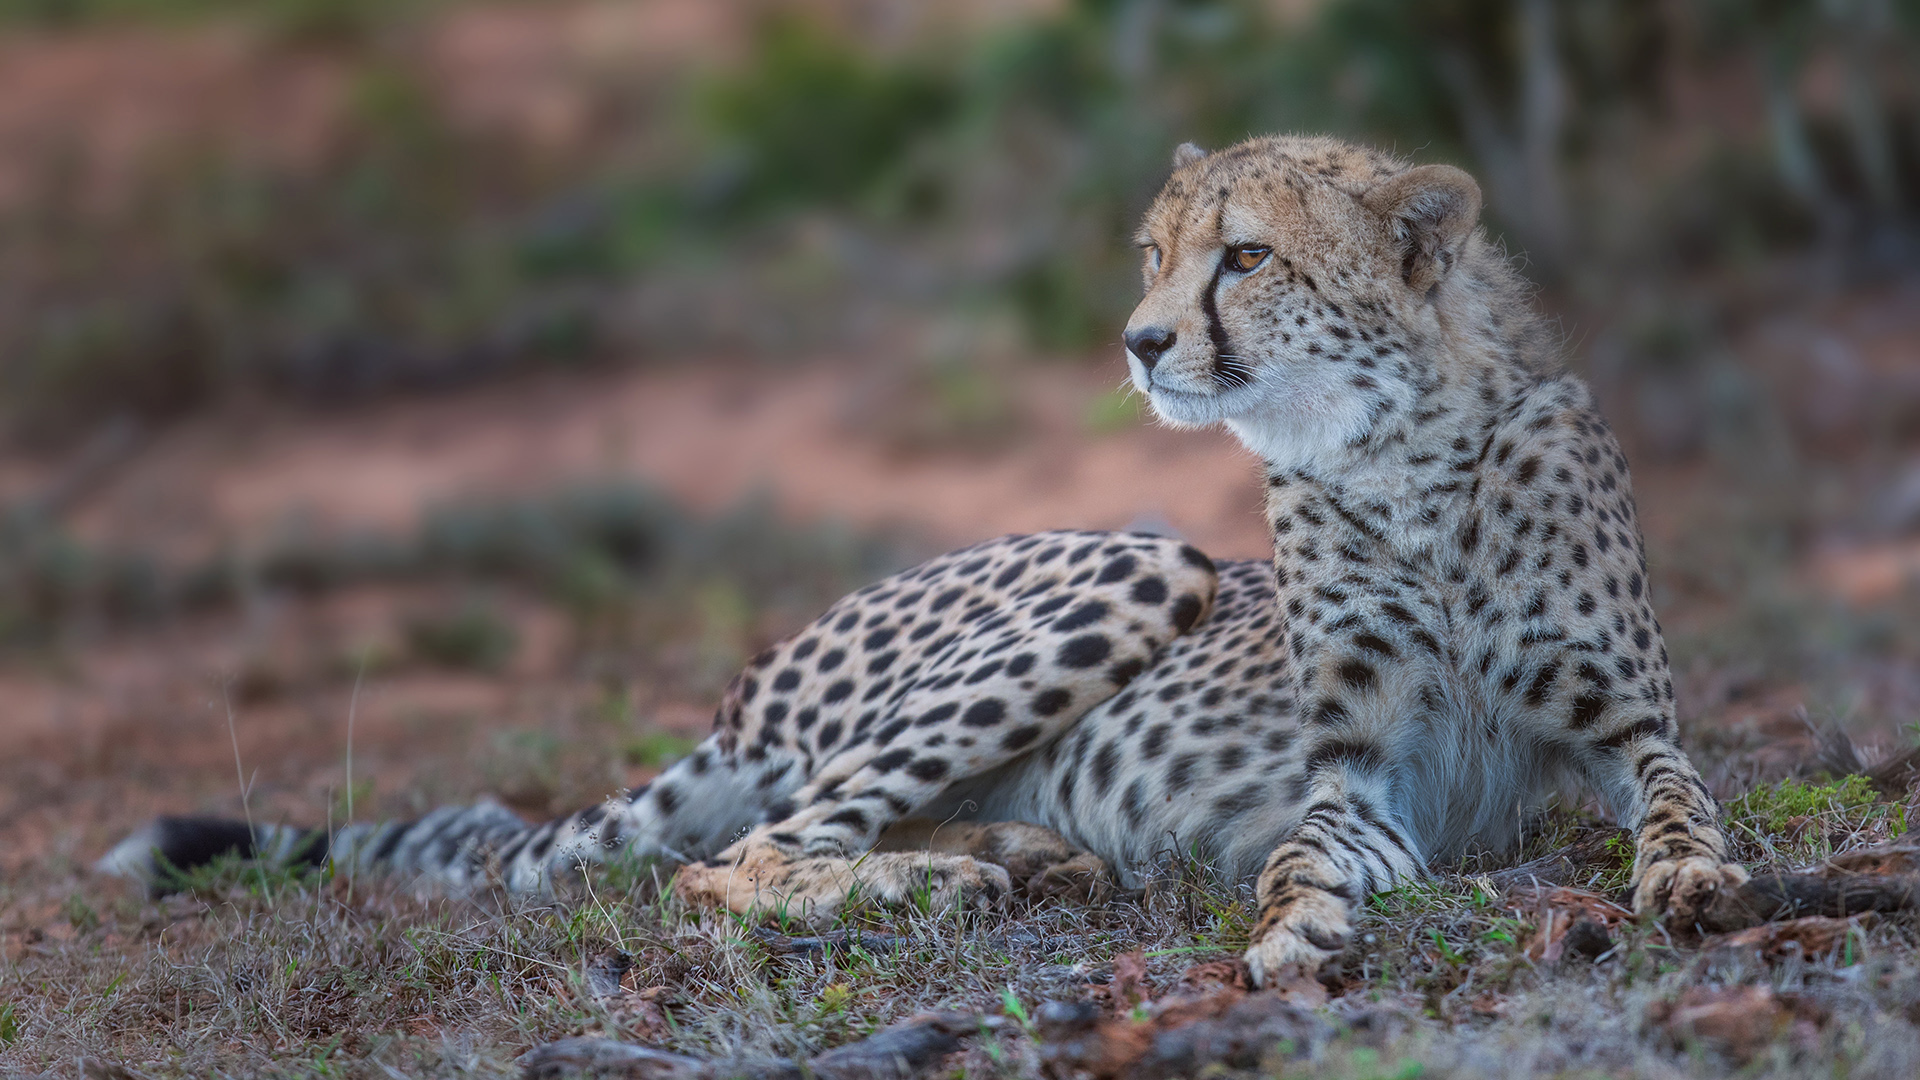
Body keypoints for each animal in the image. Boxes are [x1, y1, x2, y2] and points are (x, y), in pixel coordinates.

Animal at [100, 134, 1748, 986]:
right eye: (1155, 256)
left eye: (1248, 257)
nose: (1140, 342)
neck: (1394, 451)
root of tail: (741, 694)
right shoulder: (1358, 776)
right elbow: (1299, 850)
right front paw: (1291, 925)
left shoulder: (1619, 727)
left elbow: (1677, 801)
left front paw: (1688, 881)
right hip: (1139, 564)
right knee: (731, 862)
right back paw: (951, 881)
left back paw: (1022, 854)